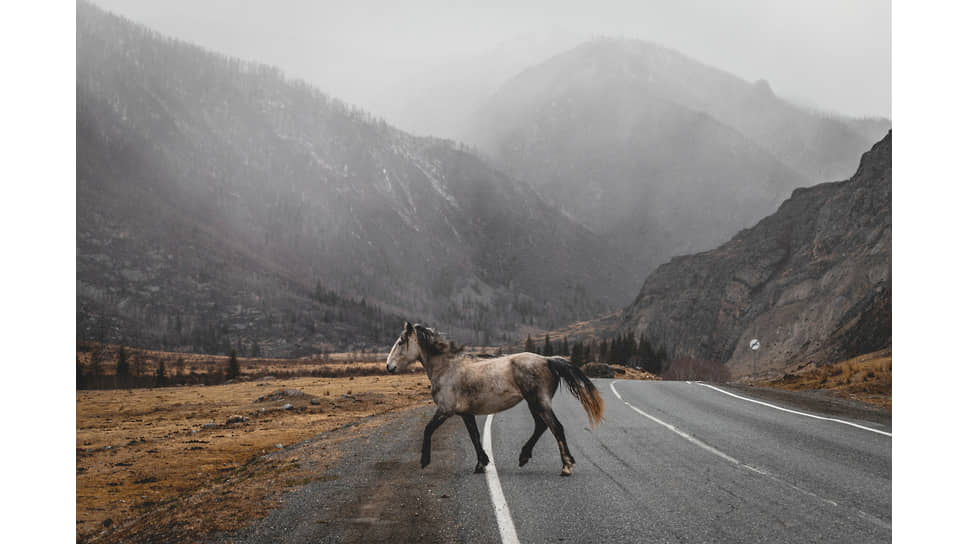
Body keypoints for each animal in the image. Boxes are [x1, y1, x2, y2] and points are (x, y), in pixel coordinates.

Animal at [382, 324, 600, 476]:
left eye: (400, 342)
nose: (389, 366)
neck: (447, 368)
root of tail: (547, 360)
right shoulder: (466, 413)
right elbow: (474, 436)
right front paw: (481, 463)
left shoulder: (445, 410)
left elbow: (428, 430)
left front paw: (424, 460)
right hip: (534, 404)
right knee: (541, 426)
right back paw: (524, 457)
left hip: (539, 402)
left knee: (556, 428)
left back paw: (566, 467)